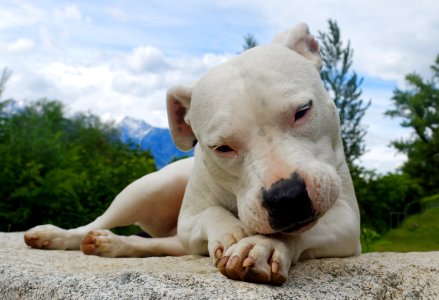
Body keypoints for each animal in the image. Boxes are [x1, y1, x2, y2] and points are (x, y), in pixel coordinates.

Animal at [23, 22, 360, 284]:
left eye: (302, 111)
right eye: (222, 147)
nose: (287, 197)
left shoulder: (346, 223)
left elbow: (296, 232)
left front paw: (260, 246)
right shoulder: (188, 220)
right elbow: (211, 213)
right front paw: (233, 232)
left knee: (160, 244)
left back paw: (114, 245)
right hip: (148, 188)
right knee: (98, 221)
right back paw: (56, 236)